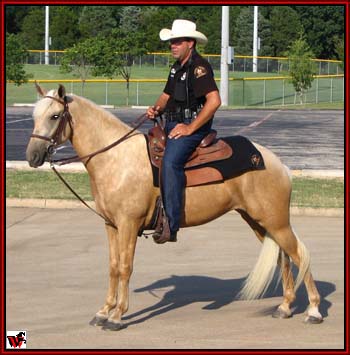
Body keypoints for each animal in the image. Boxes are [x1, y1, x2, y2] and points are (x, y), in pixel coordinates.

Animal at [26, 85, 324, 332]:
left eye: (54, 116)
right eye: (34, 116)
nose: (32, 156)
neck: (116, 157)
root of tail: (278, 164)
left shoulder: (128, 224)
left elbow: (125, 268)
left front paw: (117, 315)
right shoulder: (111, 225)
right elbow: (112, 267)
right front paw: (103, 311)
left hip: (276, 222)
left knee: (300, 254)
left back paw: (313, 310)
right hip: (258, 222)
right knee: (284, 258)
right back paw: (285, 307)